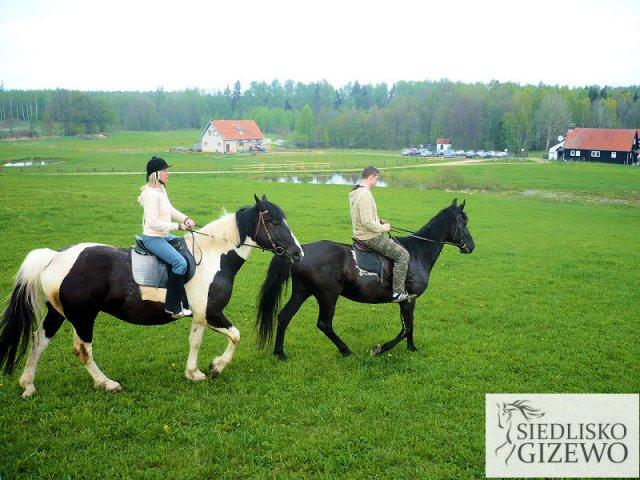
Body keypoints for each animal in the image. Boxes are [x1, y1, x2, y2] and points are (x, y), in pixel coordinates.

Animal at [0, 195, 302, 398]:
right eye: (274, 221)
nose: (297, 253)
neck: (214, 256)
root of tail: (56, 257)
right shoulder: (211, 313)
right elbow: (236, 336)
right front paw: (216, 367)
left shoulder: (200, 315)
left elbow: (195, 342)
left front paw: (194, 373)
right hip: (83, 317)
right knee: (82, 350)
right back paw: (107, 383)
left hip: (59, 314)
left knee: (38, 341)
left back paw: (28, 385)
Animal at [256, 199, 476, 360]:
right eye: (463, 222)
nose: (471, 246)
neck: (417, 253)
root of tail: (301, 251)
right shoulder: (409, 299)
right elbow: (406, 328)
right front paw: (380, 349)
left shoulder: (406, 301)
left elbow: (408, 326)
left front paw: (412, 348)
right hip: (327, 296)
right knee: (324, 324)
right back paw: (345, 350)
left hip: (302, 292)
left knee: (284, 316)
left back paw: (280, 353)